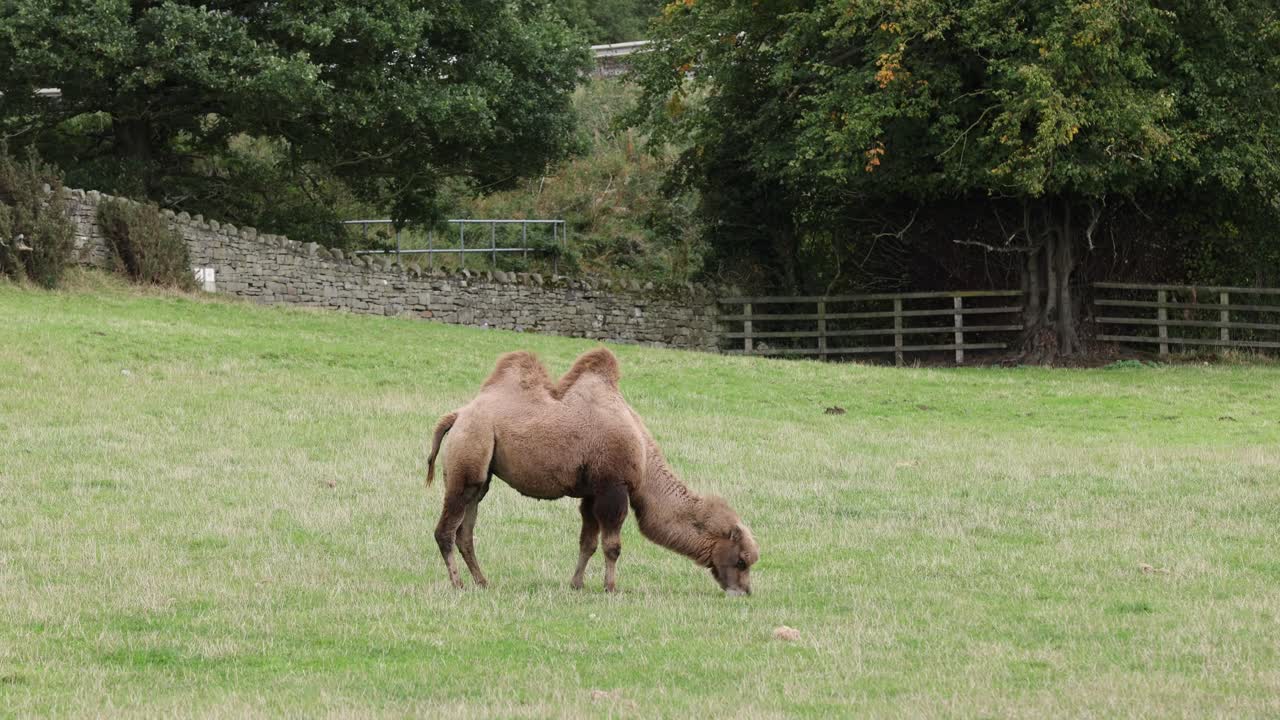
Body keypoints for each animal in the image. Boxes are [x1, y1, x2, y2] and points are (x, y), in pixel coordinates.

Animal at [425, 347, 758, 595]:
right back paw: (458, 584)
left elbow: (588, 542)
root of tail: (457, 416)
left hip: (481, 475)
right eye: (742, 560)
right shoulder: (614, 487)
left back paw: (482, 581)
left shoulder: (591, 492)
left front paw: (576, 584)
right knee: (446, 530)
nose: (744, 592)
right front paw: (610, 587)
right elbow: (612, 545)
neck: (643, 455)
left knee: (466, 531)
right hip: (469, 455)